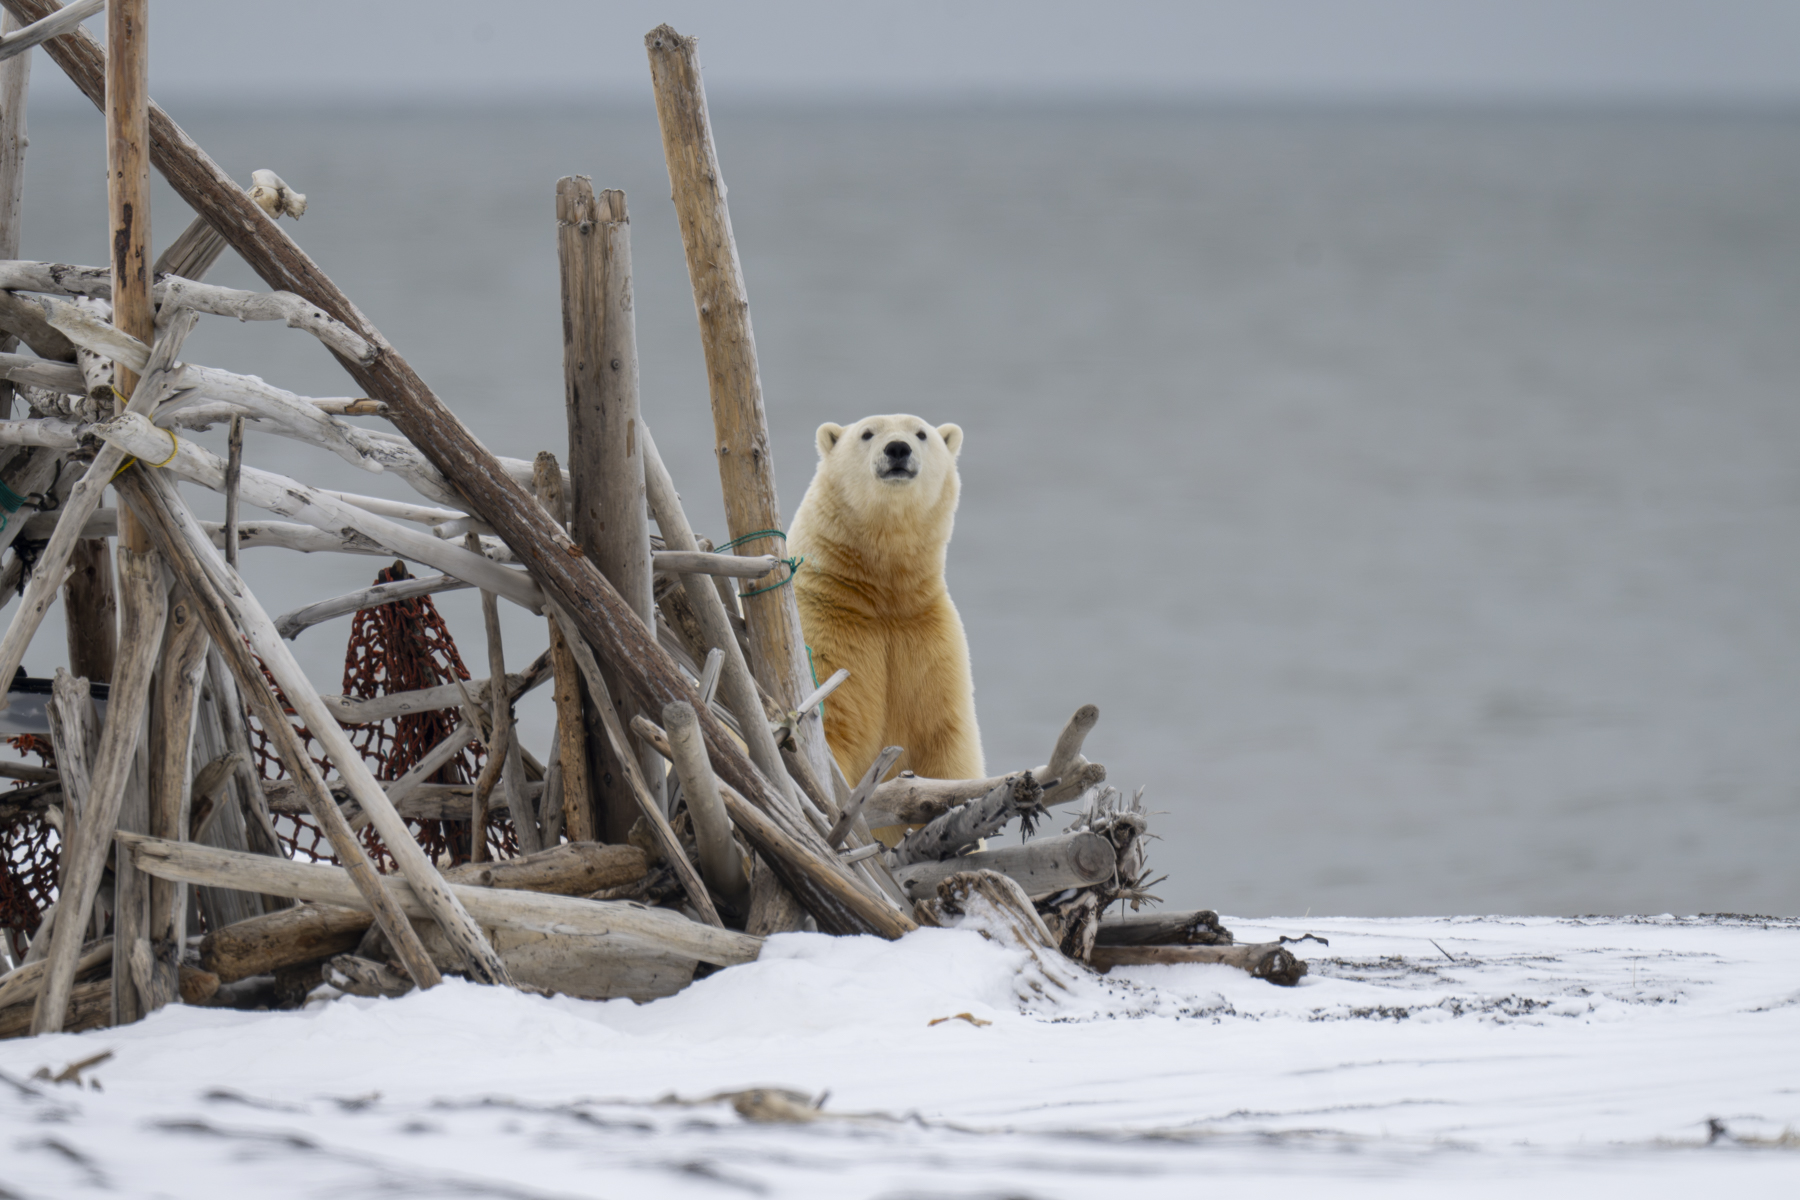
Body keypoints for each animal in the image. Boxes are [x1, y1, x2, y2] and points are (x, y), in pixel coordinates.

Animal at [788, 414, 985, 796]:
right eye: (867, 433)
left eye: (921, 433)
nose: (897, 449)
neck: (882, 598)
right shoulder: (823, 629)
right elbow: (832, 724)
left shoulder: (927, 638)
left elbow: (946, 740)